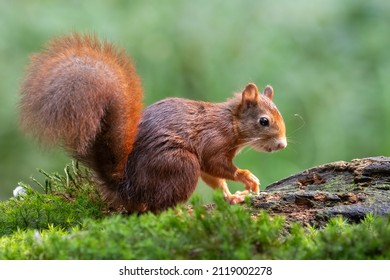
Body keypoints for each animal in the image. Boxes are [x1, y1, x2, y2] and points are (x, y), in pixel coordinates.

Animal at [19, 33, 286, 212]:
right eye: (264, 121)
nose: (282, 145)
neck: (230, 123)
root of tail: (128, 188)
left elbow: (215, 180)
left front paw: (232, 197)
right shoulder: (213, 142)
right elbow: (217, 166)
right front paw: (248, 177)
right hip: (180, 164)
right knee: (158, 208)